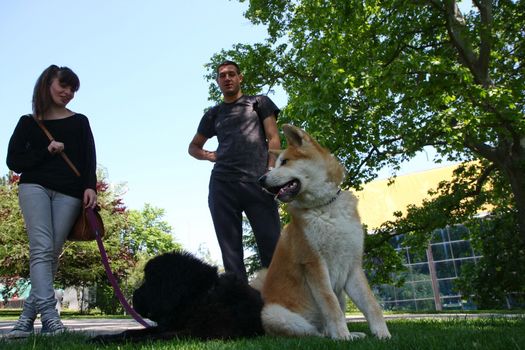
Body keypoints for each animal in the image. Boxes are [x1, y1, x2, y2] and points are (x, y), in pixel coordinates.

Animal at [92, 252, 264, 342]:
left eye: (150, 281)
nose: (134, 296)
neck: (199, 296)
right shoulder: (168, 326)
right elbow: (131, 332)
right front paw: (102, 337)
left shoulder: (194, 333)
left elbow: (148, 337)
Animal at [258, 124, 388, 340]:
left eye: (284, 162)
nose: (260, 180)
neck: (325, 206)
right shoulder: (314, 263)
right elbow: (330, 303)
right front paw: (342, 336)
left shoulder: (353, 266)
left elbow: (370, 303)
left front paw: (382, 334)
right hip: (273, 313)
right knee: (313, 333)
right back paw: (334, 336)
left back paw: (353, 334)